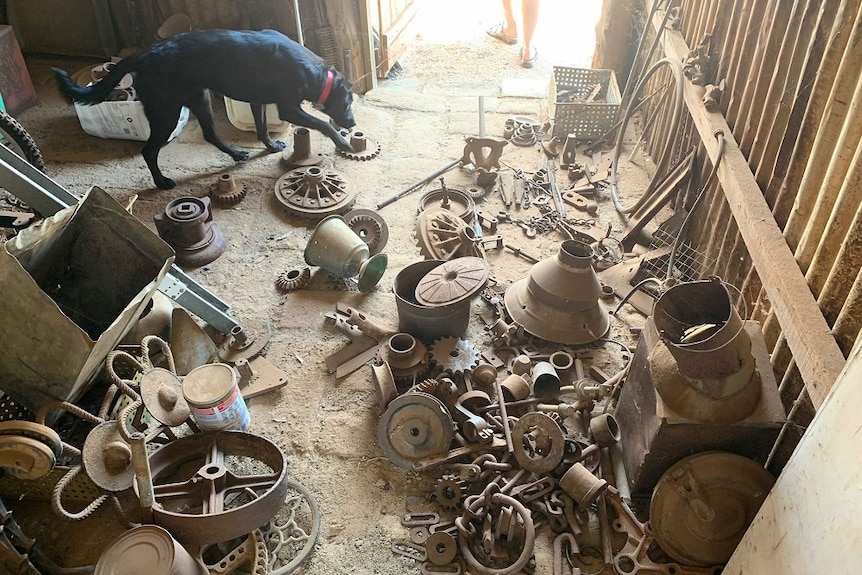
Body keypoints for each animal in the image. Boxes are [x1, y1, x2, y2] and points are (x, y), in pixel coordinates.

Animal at [53, 28, 354, 189]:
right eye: (348, 102)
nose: (352, 124)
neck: (317, 74)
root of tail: (143, 55)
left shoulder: (257, 100)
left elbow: (262, 128)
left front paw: (270, 146)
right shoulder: (289, 109)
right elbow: (323, 123)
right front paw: (343, 143)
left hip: (200, 98)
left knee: (210, 134)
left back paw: (236, 154)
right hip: (167, 112)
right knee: (149, 150)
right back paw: (162, 182)